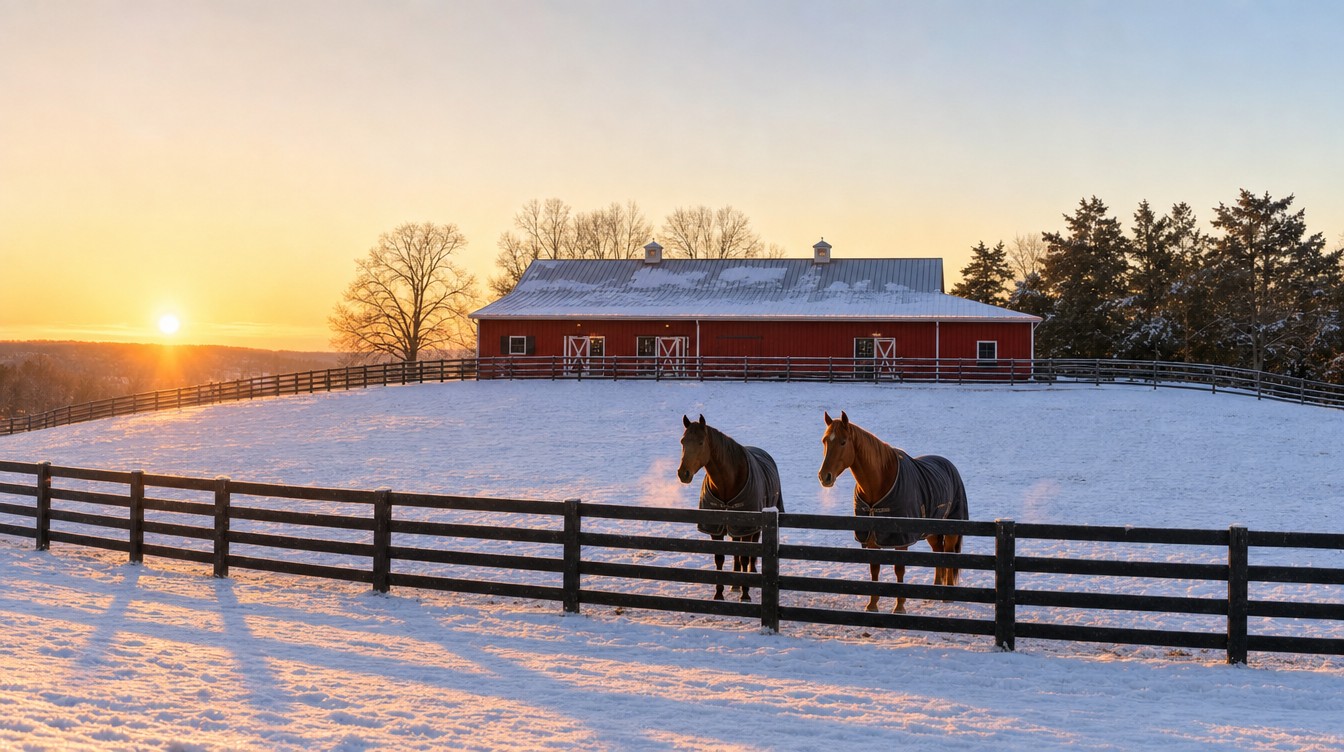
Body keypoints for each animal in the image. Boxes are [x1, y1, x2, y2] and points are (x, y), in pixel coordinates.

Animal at [677, 414, 784, 602]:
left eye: (701, 442)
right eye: (683, 441)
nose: (683, 473)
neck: (727, 483)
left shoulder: (747, 527)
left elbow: (744, 557)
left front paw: (745, 594)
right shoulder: (716, 528)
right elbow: (720, 558)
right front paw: (719, 593)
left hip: (752, 527)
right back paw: (734, 584)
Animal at [817, 410, 968, 613]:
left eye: (843, 442)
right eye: (825, 441)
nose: (824, 476)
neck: (880, 482)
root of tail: (949, 465)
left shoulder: (901, 538)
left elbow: (899, 569)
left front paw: (899, 606)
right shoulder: (871, 537)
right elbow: (874, 568)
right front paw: (872, 605)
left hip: (951, 527)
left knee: (949, 554)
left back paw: (948, 596)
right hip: (930, 530)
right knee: (937, 551)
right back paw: (935, 591)